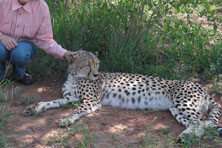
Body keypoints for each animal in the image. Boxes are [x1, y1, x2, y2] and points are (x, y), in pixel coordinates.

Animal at [23, 50, 222, 140]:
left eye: (97, 64)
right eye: (88, 64)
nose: (96, 75)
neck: (75, 75)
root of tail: (202, 87)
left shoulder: (91, 101)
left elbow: (76, 110)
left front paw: (66, 119)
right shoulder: (69, 98)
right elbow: (51, 102)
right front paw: (34, 108)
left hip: (184, 103)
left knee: (205, 123)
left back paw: (188, 137)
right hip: (176, 109)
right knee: (199, 124)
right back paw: (186, 135)